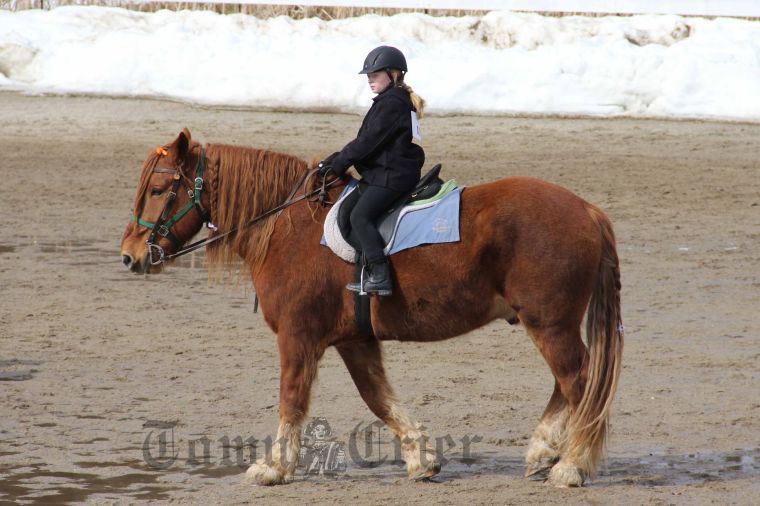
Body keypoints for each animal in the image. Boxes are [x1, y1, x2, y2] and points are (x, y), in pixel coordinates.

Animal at [120, 128, 623, 487]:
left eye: (159, 189)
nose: (130, 256)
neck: (289, 228)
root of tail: (587, 210)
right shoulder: (354, 340)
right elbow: (378, 398)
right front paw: (422, 457)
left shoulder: (298, 337)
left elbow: (291, 399)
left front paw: (275, 467)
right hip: (549, 324)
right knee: (568, 384)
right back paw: (543, 450)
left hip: (549, 324)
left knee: (580, 383)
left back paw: (571, 465)